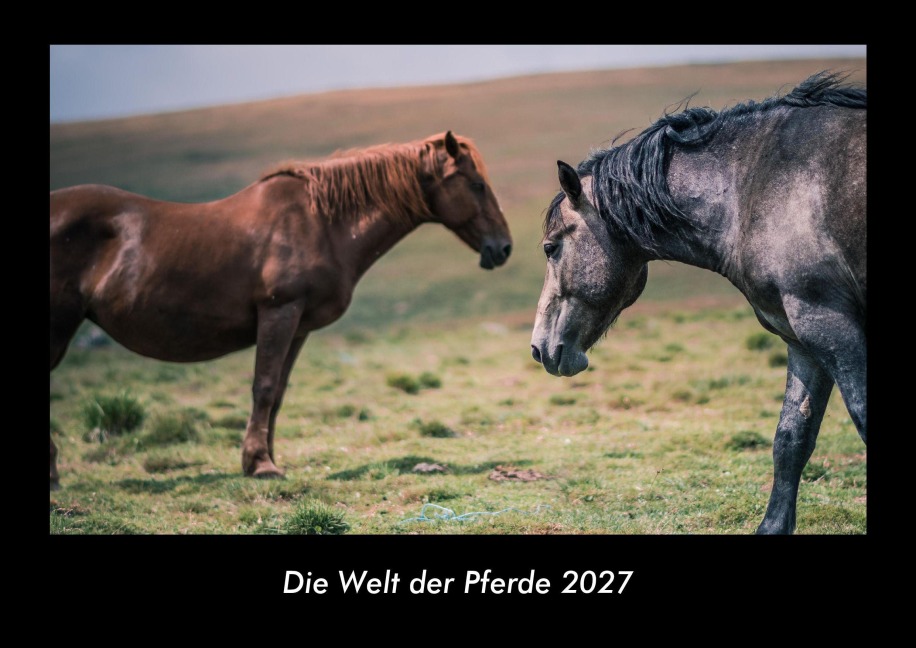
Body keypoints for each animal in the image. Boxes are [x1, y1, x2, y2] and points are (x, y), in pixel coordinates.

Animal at [50, 130, 512, 488]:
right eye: (476, 184)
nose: (503, 247)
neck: (321, 223)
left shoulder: (299, 326)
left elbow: (280, 393)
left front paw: (262, 458)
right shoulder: (279, 313)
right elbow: (265, 386)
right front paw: (261, 465)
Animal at [529, 72, 866, 534]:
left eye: (551, 247)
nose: (538, 347)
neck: (754, 185)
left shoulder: (831, 325)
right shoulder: (803, 339)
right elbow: (791, 439)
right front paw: (772, 525)